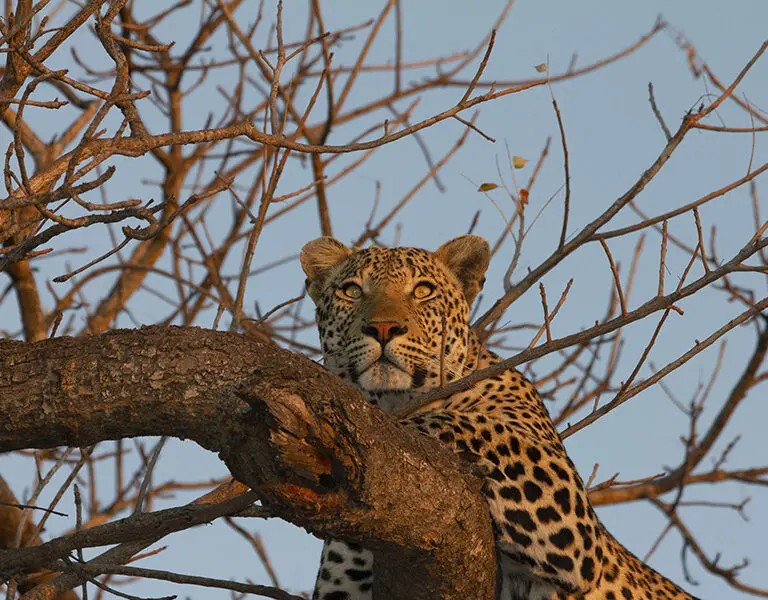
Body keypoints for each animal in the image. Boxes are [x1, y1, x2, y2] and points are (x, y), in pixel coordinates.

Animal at [300, 234, 699, 600]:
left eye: (423, 290)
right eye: (352, 291)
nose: (383, 329)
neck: (390, 401)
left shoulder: (570, 514)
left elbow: (475, 426)